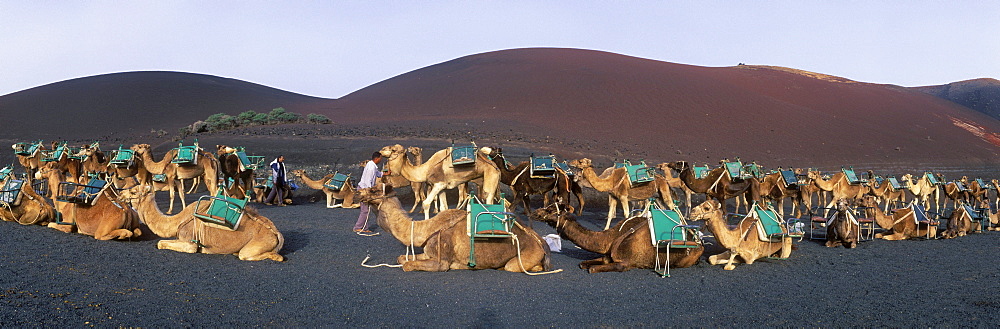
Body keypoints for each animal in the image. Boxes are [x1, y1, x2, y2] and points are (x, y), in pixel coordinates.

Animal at [127, 183, 286, 260]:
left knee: (250, 255)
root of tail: (276, 232)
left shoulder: (190, 242)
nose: (122, 193)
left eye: (133, 192)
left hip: (259, 243)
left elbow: (160, 243)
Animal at [528, 201, 700, 272]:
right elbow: (584, 264)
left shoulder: (625, 262)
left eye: (551, 210)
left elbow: (593, 269)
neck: (611, 238)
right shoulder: (608, 256)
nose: (534, 213)